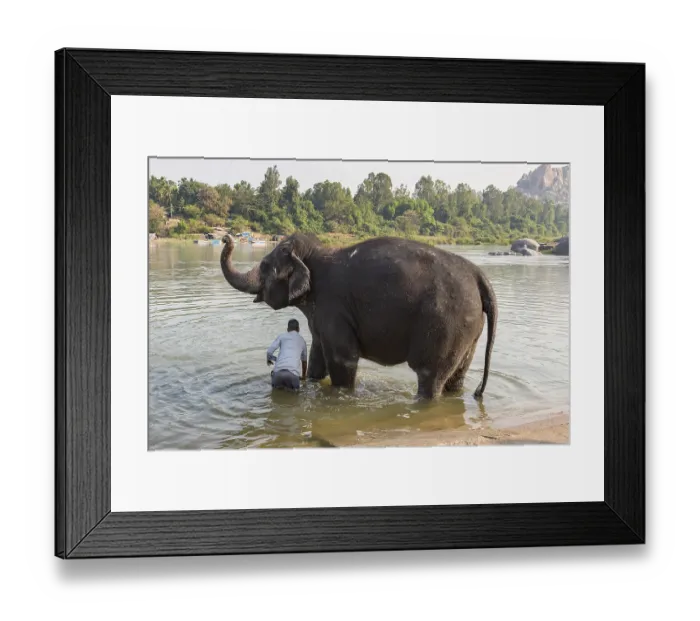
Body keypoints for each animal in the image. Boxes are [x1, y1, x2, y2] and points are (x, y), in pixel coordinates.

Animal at [220, 233, 498, 400]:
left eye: (265, 266)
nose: (226, 237)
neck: (314, 254)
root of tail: (478, 275)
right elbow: (317, 356)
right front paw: (313, 383)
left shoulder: (334, 306)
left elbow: (343, 358)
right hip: (469, 329)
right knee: (457, 376)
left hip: (446, 323)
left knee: (430, 376)